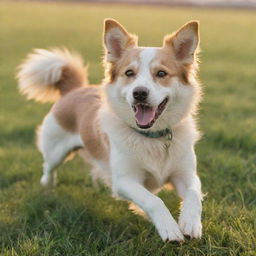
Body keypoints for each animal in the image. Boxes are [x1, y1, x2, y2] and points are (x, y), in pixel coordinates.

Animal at [17, 18, 203, 242]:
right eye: (129, 73)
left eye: (161, 73)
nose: (139, 93)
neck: (152, 137)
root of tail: (76, 89)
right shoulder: (124, 181)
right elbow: (153, 201)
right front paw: (169, 228)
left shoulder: (187, 175)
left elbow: (194, 195)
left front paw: (190, 223)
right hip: (55, 151)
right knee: (48, 168)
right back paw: (48, 187)